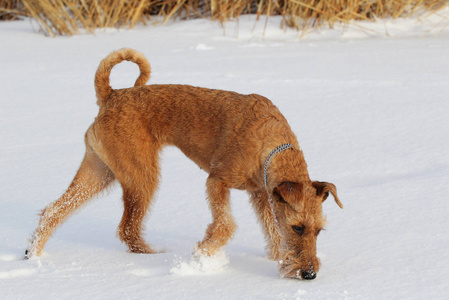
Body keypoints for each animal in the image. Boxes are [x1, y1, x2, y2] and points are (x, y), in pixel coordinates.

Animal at [25, 48, 344, 280]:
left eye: (319, 230)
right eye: (298, 228)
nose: (309, 274)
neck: (270, 146)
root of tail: (112, 94)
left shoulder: (261, 194)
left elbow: (272, 232)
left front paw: (276, 258)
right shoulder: (217, 180)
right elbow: (226, 224)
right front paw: (203, 253)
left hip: (99, 170)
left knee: (55, 210)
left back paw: (33, 253)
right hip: (142, 176)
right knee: (127, 228)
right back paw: (156, 256)